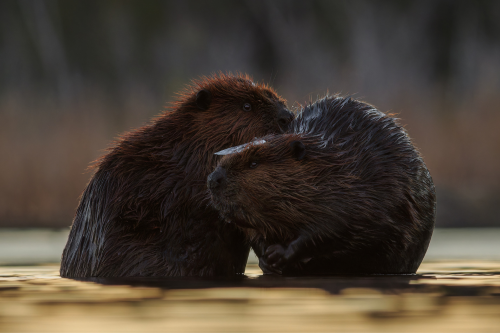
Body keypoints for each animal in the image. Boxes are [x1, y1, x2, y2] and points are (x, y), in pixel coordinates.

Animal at [207, 94, 434, 274]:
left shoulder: (359, 193)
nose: (212, 179)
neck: (330, 166)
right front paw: (266, 259)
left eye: (253, 163)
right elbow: (254, 233)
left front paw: (278, 254)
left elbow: (332, 227)